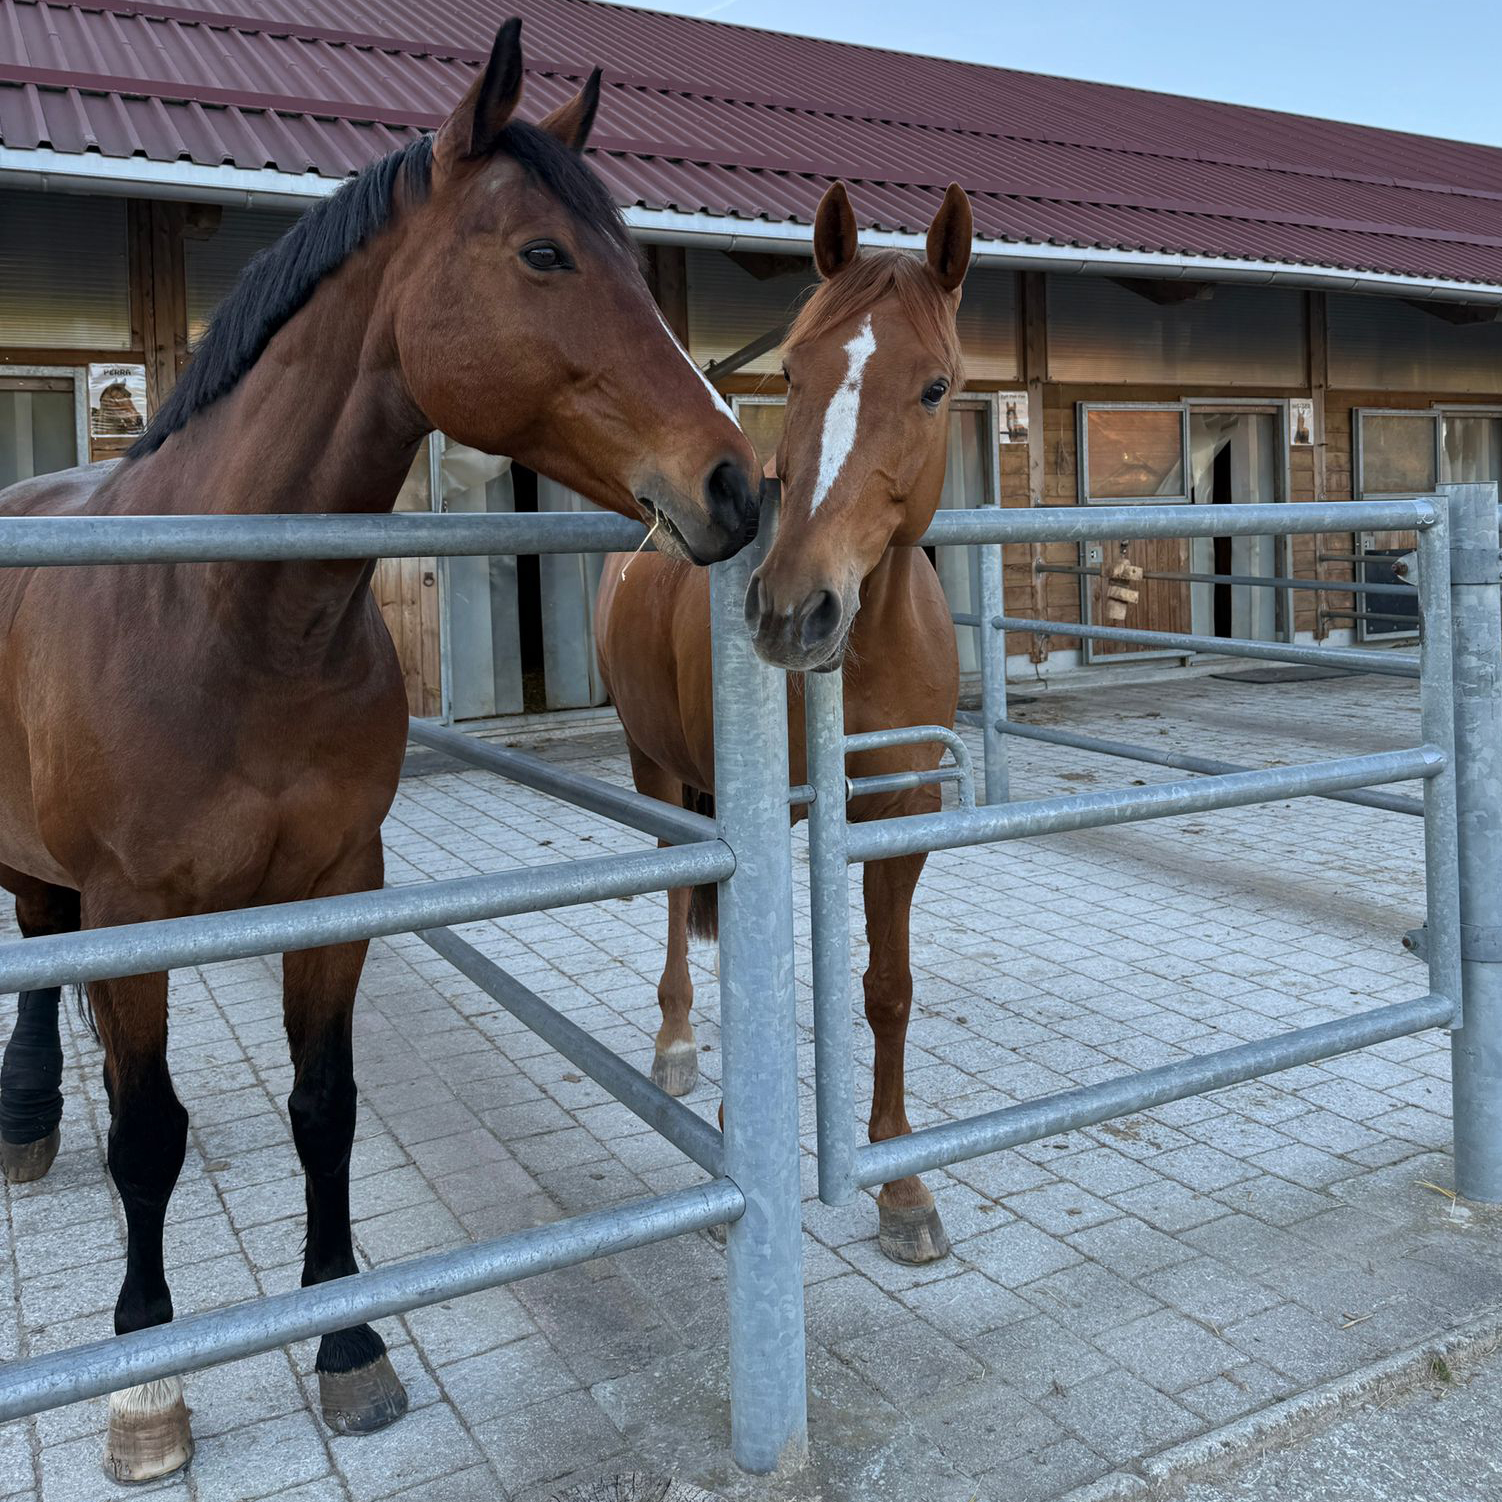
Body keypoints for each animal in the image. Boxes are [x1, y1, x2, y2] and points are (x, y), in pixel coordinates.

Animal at [0, 19, 758, 1482]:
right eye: (542, 254)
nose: (736, 487)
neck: (225, 615)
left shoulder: (339, 884)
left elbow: (324, 1107)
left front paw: (348, 1340)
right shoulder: (131, 911)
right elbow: (147, 1135)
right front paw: (144, 1385)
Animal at [596, 180, 972, 1266]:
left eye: (934, 388)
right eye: (794, 374)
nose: (792, 609)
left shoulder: (899, 810)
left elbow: (887, 985)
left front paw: (900, 1185)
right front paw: (739, 1130)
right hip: (657, 769)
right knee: (677, 904)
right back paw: (677, 1046)